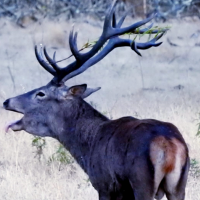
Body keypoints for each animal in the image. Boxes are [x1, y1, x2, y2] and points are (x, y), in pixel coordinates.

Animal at [3, 0, 189, 200]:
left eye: (41, 93)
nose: (6, 101)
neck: (86, 148)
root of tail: (169, 144)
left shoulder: (104, 185)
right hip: (179, 187)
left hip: (142, 183)